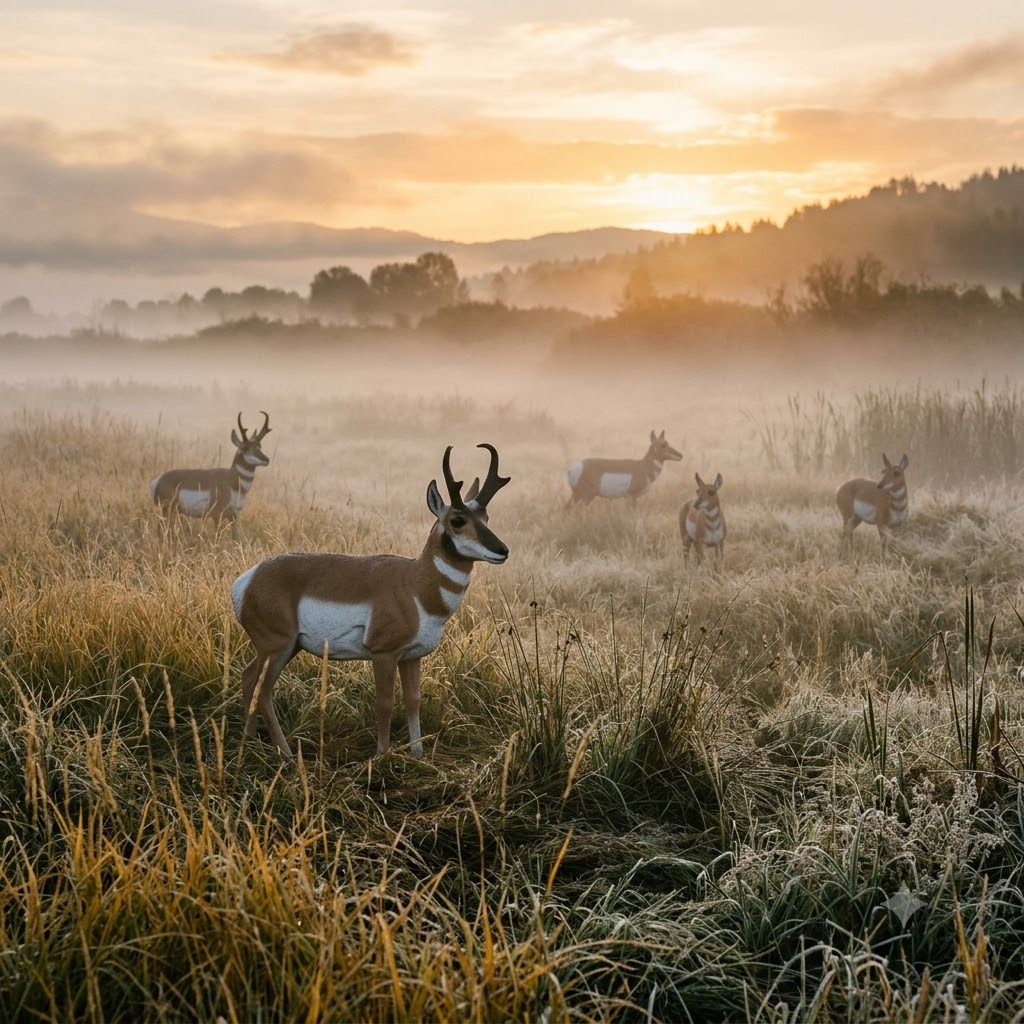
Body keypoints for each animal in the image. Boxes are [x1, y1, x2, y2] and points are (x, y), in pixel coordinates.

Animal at [231, 443, 510, 758]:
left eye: (486, 518)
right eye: (457, 520)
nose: (502, 550)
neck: (415, 583)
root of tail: (248, 579)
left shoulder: (411, 656)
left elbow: (413, 700)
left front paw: (417, 755)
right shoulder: (383, 654)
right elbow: (385, 703)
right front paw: (381, 755)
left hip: (285, 648)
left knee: (248, 679)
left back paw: (250, 742)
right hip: (278, 647)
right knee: (263, 691)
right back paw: (287, 754)